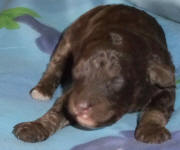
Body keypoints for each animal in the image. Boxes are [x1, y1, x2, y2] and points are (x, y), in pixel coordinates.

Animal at [13, 4, 176, 144]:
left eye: (116, 81)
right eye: (76, 74)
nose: (80, 107)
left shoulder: (166, 82)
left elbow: (157, 107)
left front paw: (152, 130)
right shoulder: (72, 94)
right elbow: (58, 109)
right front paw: (34, 127)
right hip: (69, 37)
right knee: (55, 65)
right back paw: (42, 90)